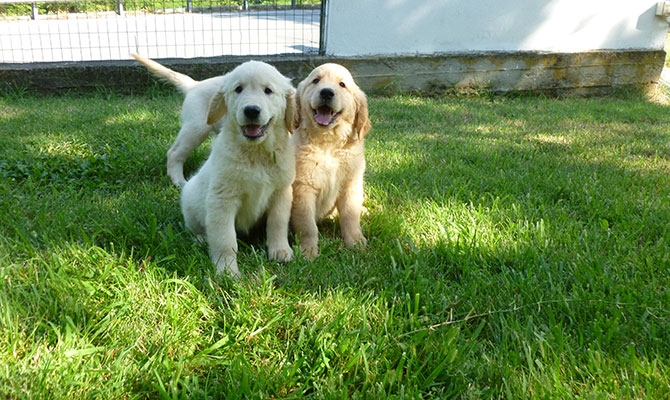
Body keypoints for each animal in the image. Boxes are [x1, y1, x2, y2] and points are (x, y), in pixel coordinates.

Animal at [184, 60, 300, 278]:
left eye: (268, 90)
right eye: (238, 89)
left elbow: (278, 223)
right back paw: (200, 239)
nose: (251, 110)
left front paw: (280, 250)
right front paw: (227, 271)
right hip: (190, 202)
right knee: (195, 228)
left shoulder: (281, 192)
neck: (257, 153)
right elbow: (225, 239)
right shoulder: (222, 199)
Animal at [292, 61, 372, 256]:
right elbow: (307, 225)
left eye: (342, 84)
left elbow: (350, 216)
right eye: (316, 80)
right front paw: (308, 251)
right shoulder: (303, 189)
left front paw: (355, 241)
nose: (327, 92)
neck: (328, 145)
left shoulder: (351, 184)